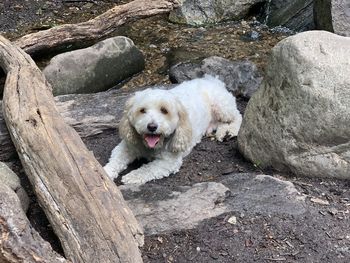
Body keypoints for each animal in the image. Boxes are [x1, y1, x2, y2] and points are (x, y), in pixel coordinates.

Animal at [103, 75, 241, 185]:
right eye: (142, 110)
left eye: (164, 110)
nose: (152, 126)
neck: (150, 147)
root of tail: (212, 80)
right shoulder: (127, 146)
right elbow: (115, 160)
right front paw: (105, 173)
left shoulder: (169, 161)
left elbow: (148, 168)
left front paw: (133, 176)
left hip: (222, 106)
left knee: (237, 117)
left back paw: (229, 131)